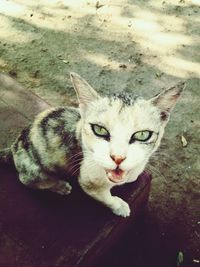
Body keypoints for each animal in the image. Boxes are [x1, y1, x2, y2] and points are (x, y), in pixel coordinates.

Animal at [0, 73, 185, 218]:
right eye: (99, 130)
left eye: (142, 134)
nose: (118, 158)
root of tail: (14, 146)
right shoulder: (88, 180)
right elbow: (104, 197)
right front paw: (118, 206)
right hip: (34, 172)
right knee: (29, 180)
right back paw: (60, 186)